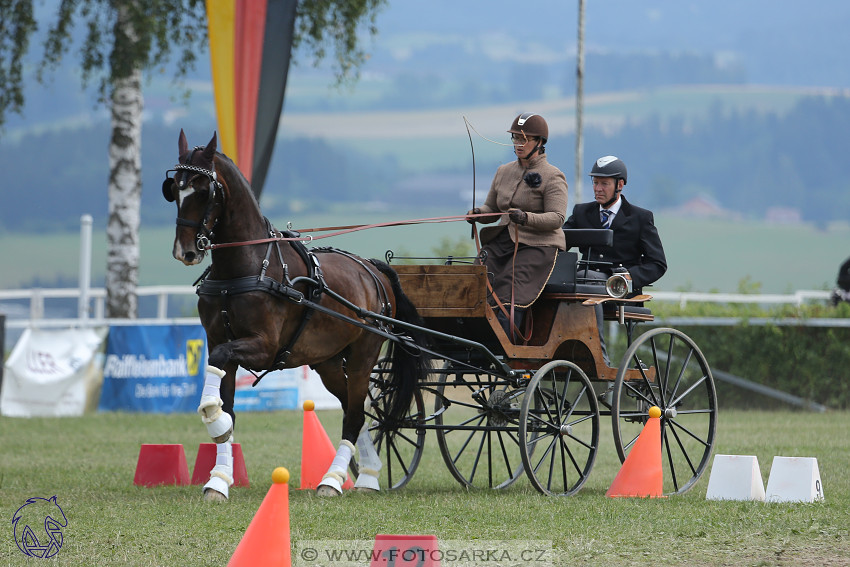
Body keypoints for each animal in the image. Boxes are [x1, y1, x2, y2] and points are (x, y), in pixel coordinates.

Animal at [162, 130, 430, 502]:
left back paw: (332, 480)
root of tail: (372, 269)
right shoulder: (218, 340)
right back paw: (368, 474)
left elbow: (220, 375)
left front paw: (211, 417)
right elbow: (228, 403)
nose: (185, 251)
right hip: (328, 362)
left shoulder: (263, 346)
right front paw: (219, 477)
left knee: (354, 415)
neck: (245, 269)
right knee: (355, 408)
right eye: (174, 190)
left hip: (363, 355)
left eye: (204, 190)